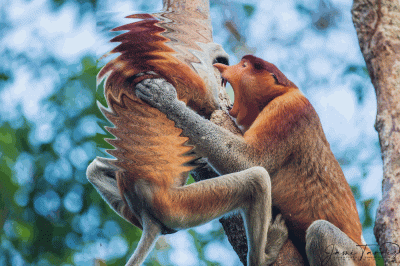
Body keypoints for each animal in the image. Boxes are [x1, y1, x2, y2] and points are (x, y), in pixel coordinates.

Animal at [135, 54, 378, 266]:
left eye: (245, 66)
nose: (221, 66)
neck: (279, 93)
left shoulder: (288, 111)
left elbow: (250, 160)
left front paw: (164, 98)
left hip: (355, 255)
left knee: (322, 232)